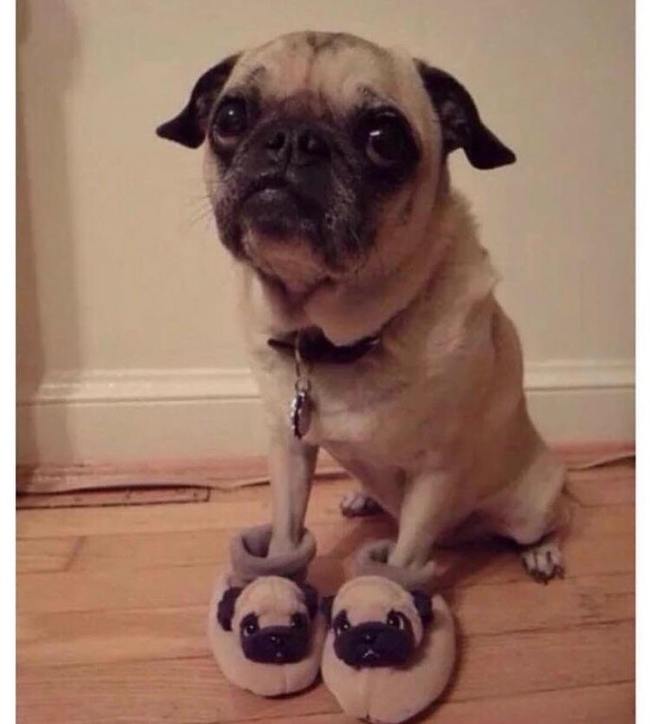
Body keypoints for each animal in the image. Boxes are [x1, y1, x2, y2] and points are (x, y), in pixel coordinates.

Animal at [156, 29, 560, 588]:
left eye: (384, 139)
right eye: (231, 117)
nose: (294, 138)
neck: (333, 337)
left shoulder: (436, 473)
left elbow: (402, 562)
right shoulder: (289, 448)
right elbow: (285, 533)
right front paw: (278, 581)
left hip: (529, 503)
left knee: (538, 525)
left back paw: (541, 551)